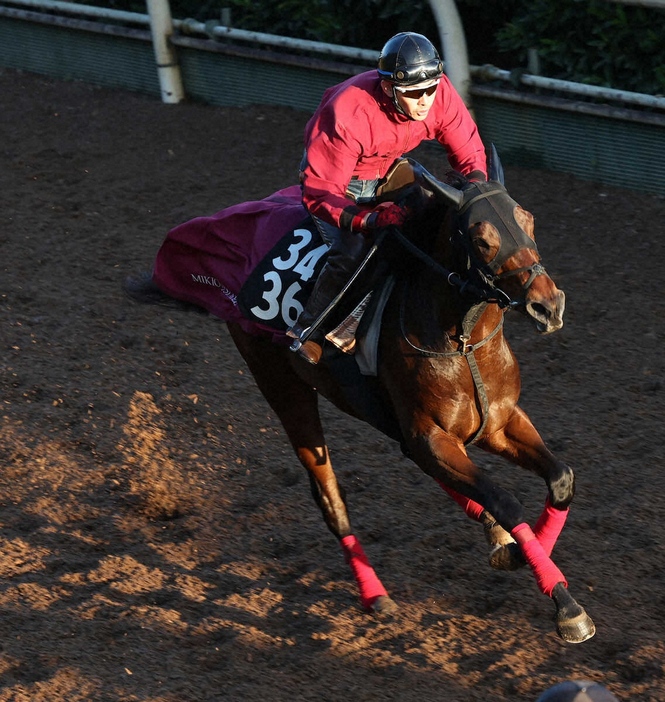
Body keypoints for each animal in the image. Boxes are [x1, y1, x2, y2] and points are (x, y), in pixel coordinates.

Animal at [124, 151, 596, 648]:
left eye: (529, 220)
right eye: (482, 240)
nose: (549, 305)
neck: (461, 340)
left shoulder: (499, 424)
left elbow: (561, 478)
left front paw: (519, 552)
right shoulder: (432, 435)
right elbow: (505, 501)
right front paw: (565, 604)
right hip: (281, 384)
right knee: (331, 498)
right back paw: (375, 594)